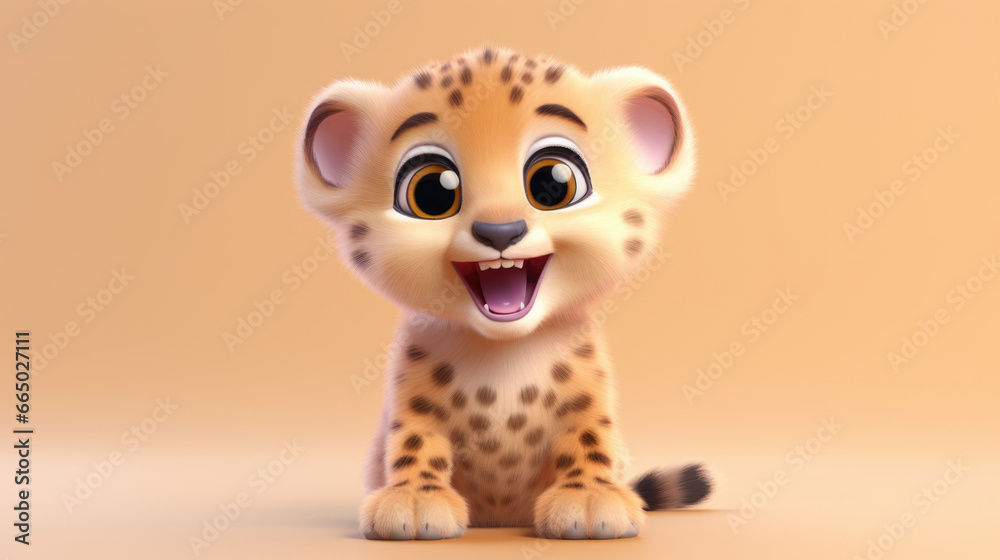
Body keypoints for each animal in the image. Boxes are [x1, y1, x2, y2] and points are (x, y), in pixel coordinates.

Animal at [294, 45, 712, 541]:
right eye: (431, 192)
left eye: (555, 183)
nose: (500, 230)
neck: (503, 356)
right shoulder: (410, 399)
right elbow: (416, 440)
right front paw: (414, 498)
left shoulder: (588, 396)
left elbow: (589, 437)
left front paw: (590, 496)